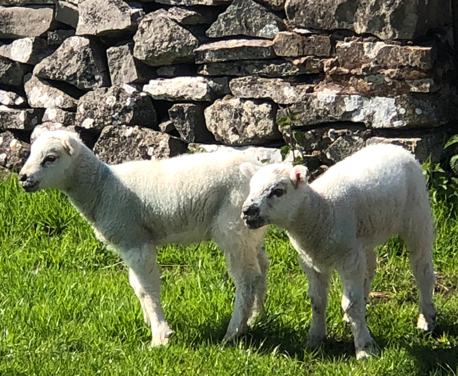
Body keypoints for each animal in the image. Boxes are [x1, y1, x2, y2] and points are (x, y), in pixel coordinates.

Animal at [18, 131, 268, 346]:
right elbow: (136, 285)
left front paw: (160, 336)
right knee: (262, 268)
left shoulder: (134, 240)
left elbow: (148, 288)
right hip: (249, 232)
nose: (23, 178)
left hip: (232, 226)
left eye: (50, 158)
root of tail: (255, 169)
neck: (102, 188)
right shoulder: (127, 242)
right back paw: (256, 318)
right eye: (30, 153)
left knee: (246, 279)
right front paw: (149, 321)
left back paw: (233, 332)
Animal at [240, 144, 436, 358]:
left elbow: (351, 304)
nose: (247, 211)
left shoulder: (348, 259)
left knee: (422, 269)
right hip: (363, 238)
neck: (320, 211)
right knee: (369, 268)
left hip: (417, 217)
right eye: (250, 188)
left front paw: (365, 349)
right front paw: (315, 339)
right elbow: (317, 302)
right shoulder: (311, 263)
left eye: (278, 191)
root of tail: (395, 147)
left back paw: (426, 319)